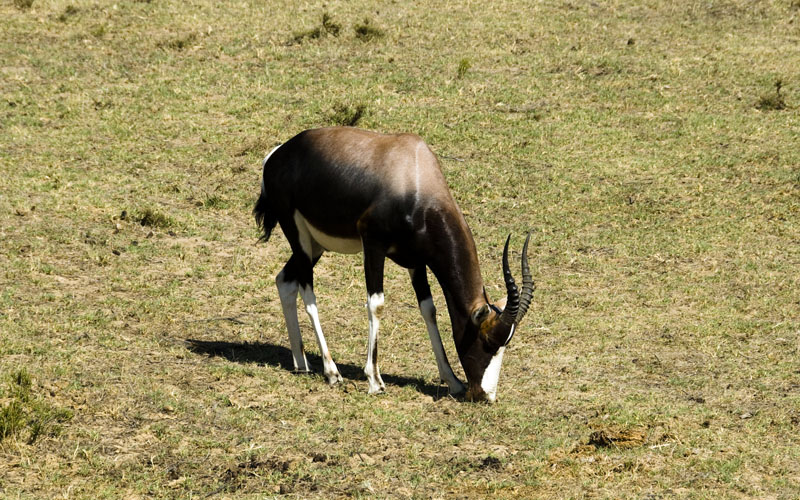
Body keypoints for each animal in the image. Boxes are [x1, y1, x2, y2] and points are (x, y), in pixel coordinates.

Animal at [253, 126, 536, 402]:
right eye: (487, 340)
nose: (486, 395)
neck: (414, 173)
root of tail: (277, 155)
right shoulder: (373, 245)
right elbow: (376, 304)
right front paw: (375, 381)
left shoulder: (417, 261)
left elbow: (428, 309)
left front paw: (452, 380)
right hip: (299, 238)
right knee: (308, 294)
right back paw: (332, 372)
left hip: (316, 245)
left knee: (284, 280)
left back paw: (301, 363)